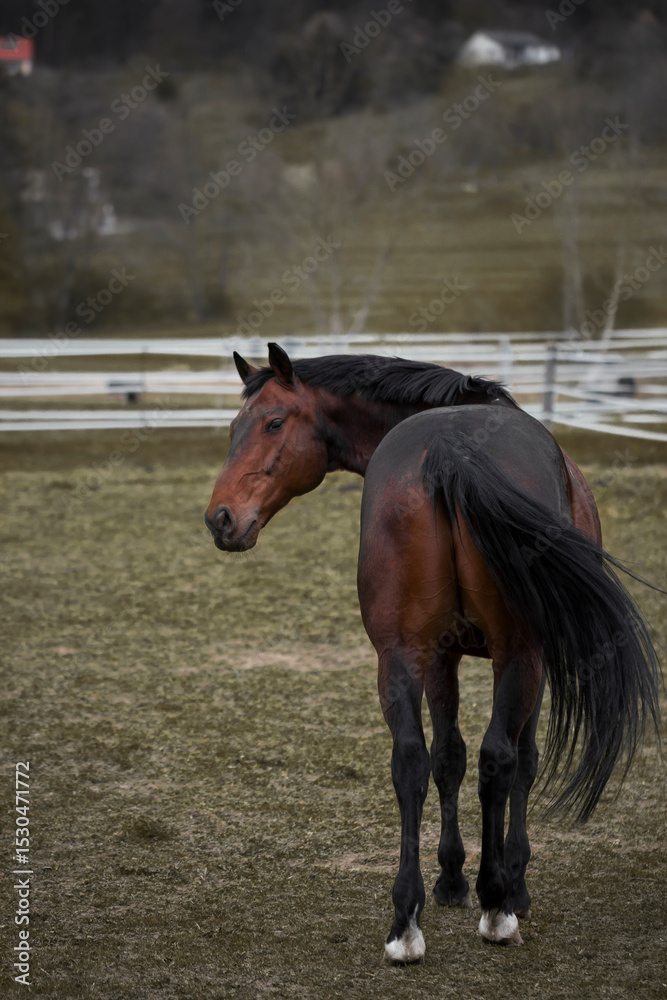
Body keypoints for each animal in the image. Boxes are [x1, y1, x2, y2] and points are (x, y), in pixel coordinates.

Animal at [204, 342, 660, 963]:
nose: (220, 518)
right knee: (498, 759)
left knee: (411, 762)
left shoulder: (440, 657)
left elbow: (445, 757)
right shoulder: (529, 660)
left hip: (401, 656)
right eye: (235, 428)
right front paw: (506, 884)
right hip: (518, 654)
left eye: (272, 422)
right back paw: (496, 906)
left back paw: (406, 922)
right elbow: (517, 760)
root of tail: (450, 448)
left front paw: (449, 880)